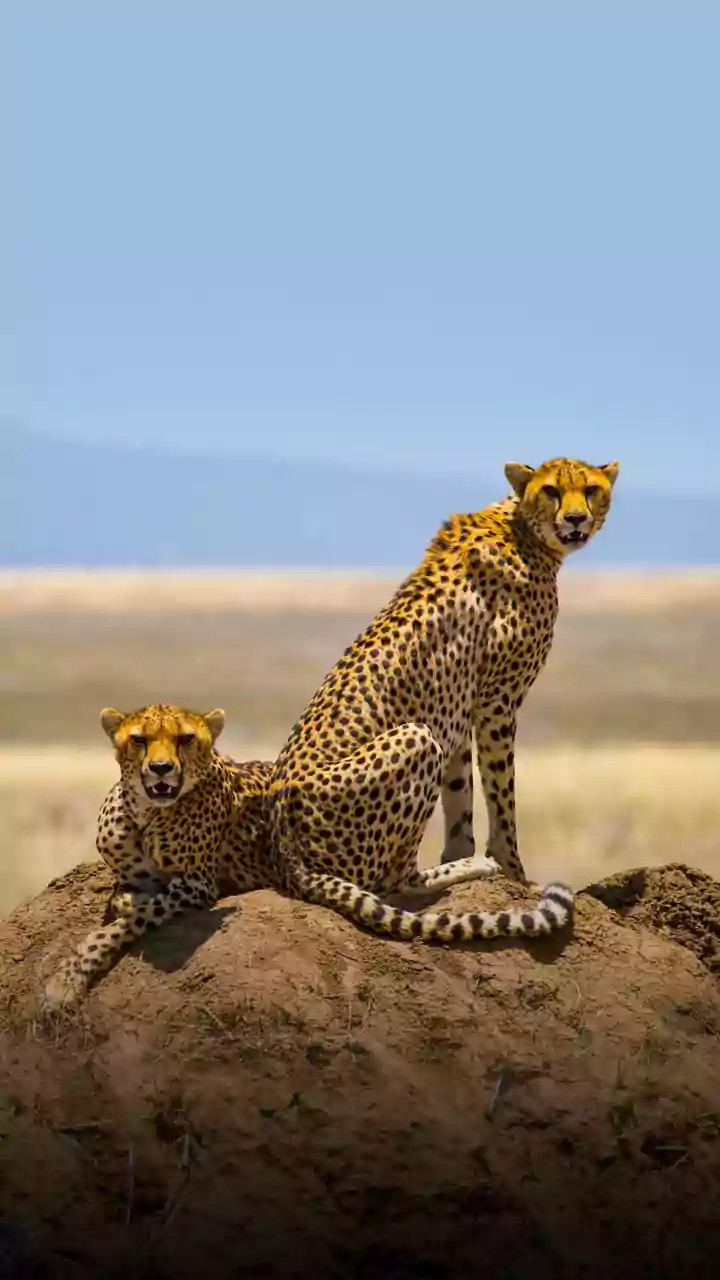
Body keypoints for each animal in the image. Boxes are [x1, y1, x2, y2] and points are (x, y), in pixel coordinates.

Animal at [42, 703, 273, 1010]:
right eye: (139, 740)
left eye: (186, 738)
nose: (161, 768)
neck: (144, 814)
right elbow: (124, 900)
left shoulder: (197, 884)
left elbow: (125, 922)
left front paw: (66, 981)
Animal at [261, 455, 620, 942]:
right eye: (551, 491)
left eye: (591, 489)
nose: (576, 519)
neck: (523, 529)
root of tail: (287, 855)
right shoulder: (496, 701)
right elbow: (502, 795)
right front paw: (512, 870)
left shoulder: (459, 706)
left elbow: (460, 790)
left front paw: (460, 851)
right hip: (415, 737)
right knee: (394, 880)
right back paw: (472, 870)